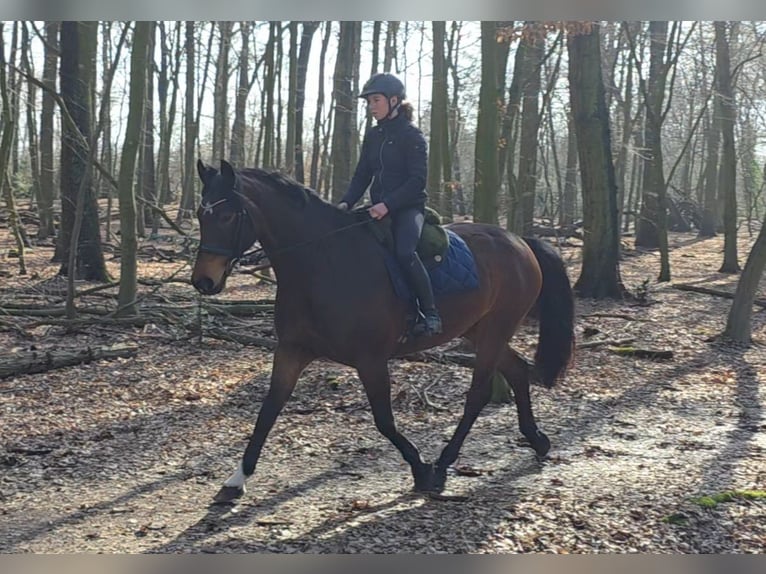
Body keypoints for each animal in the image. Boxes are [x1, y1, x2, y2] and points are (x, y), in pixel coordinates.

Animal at [191, 159, 575, 503]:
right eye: (200, 215)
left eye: (227, 216)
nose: (203, 281)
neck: (323, 263)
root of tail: (520, 241)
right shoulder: (292, 350)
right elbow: (269, 409)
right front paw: (236, 479)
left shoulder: (371, 360)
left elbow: (384, 421)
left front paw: (420, 470)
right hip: (480, 329)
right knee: (517, 370)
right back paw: (537, 439)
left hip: (496, 328)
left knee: (478, 394)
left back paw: (443, 464)